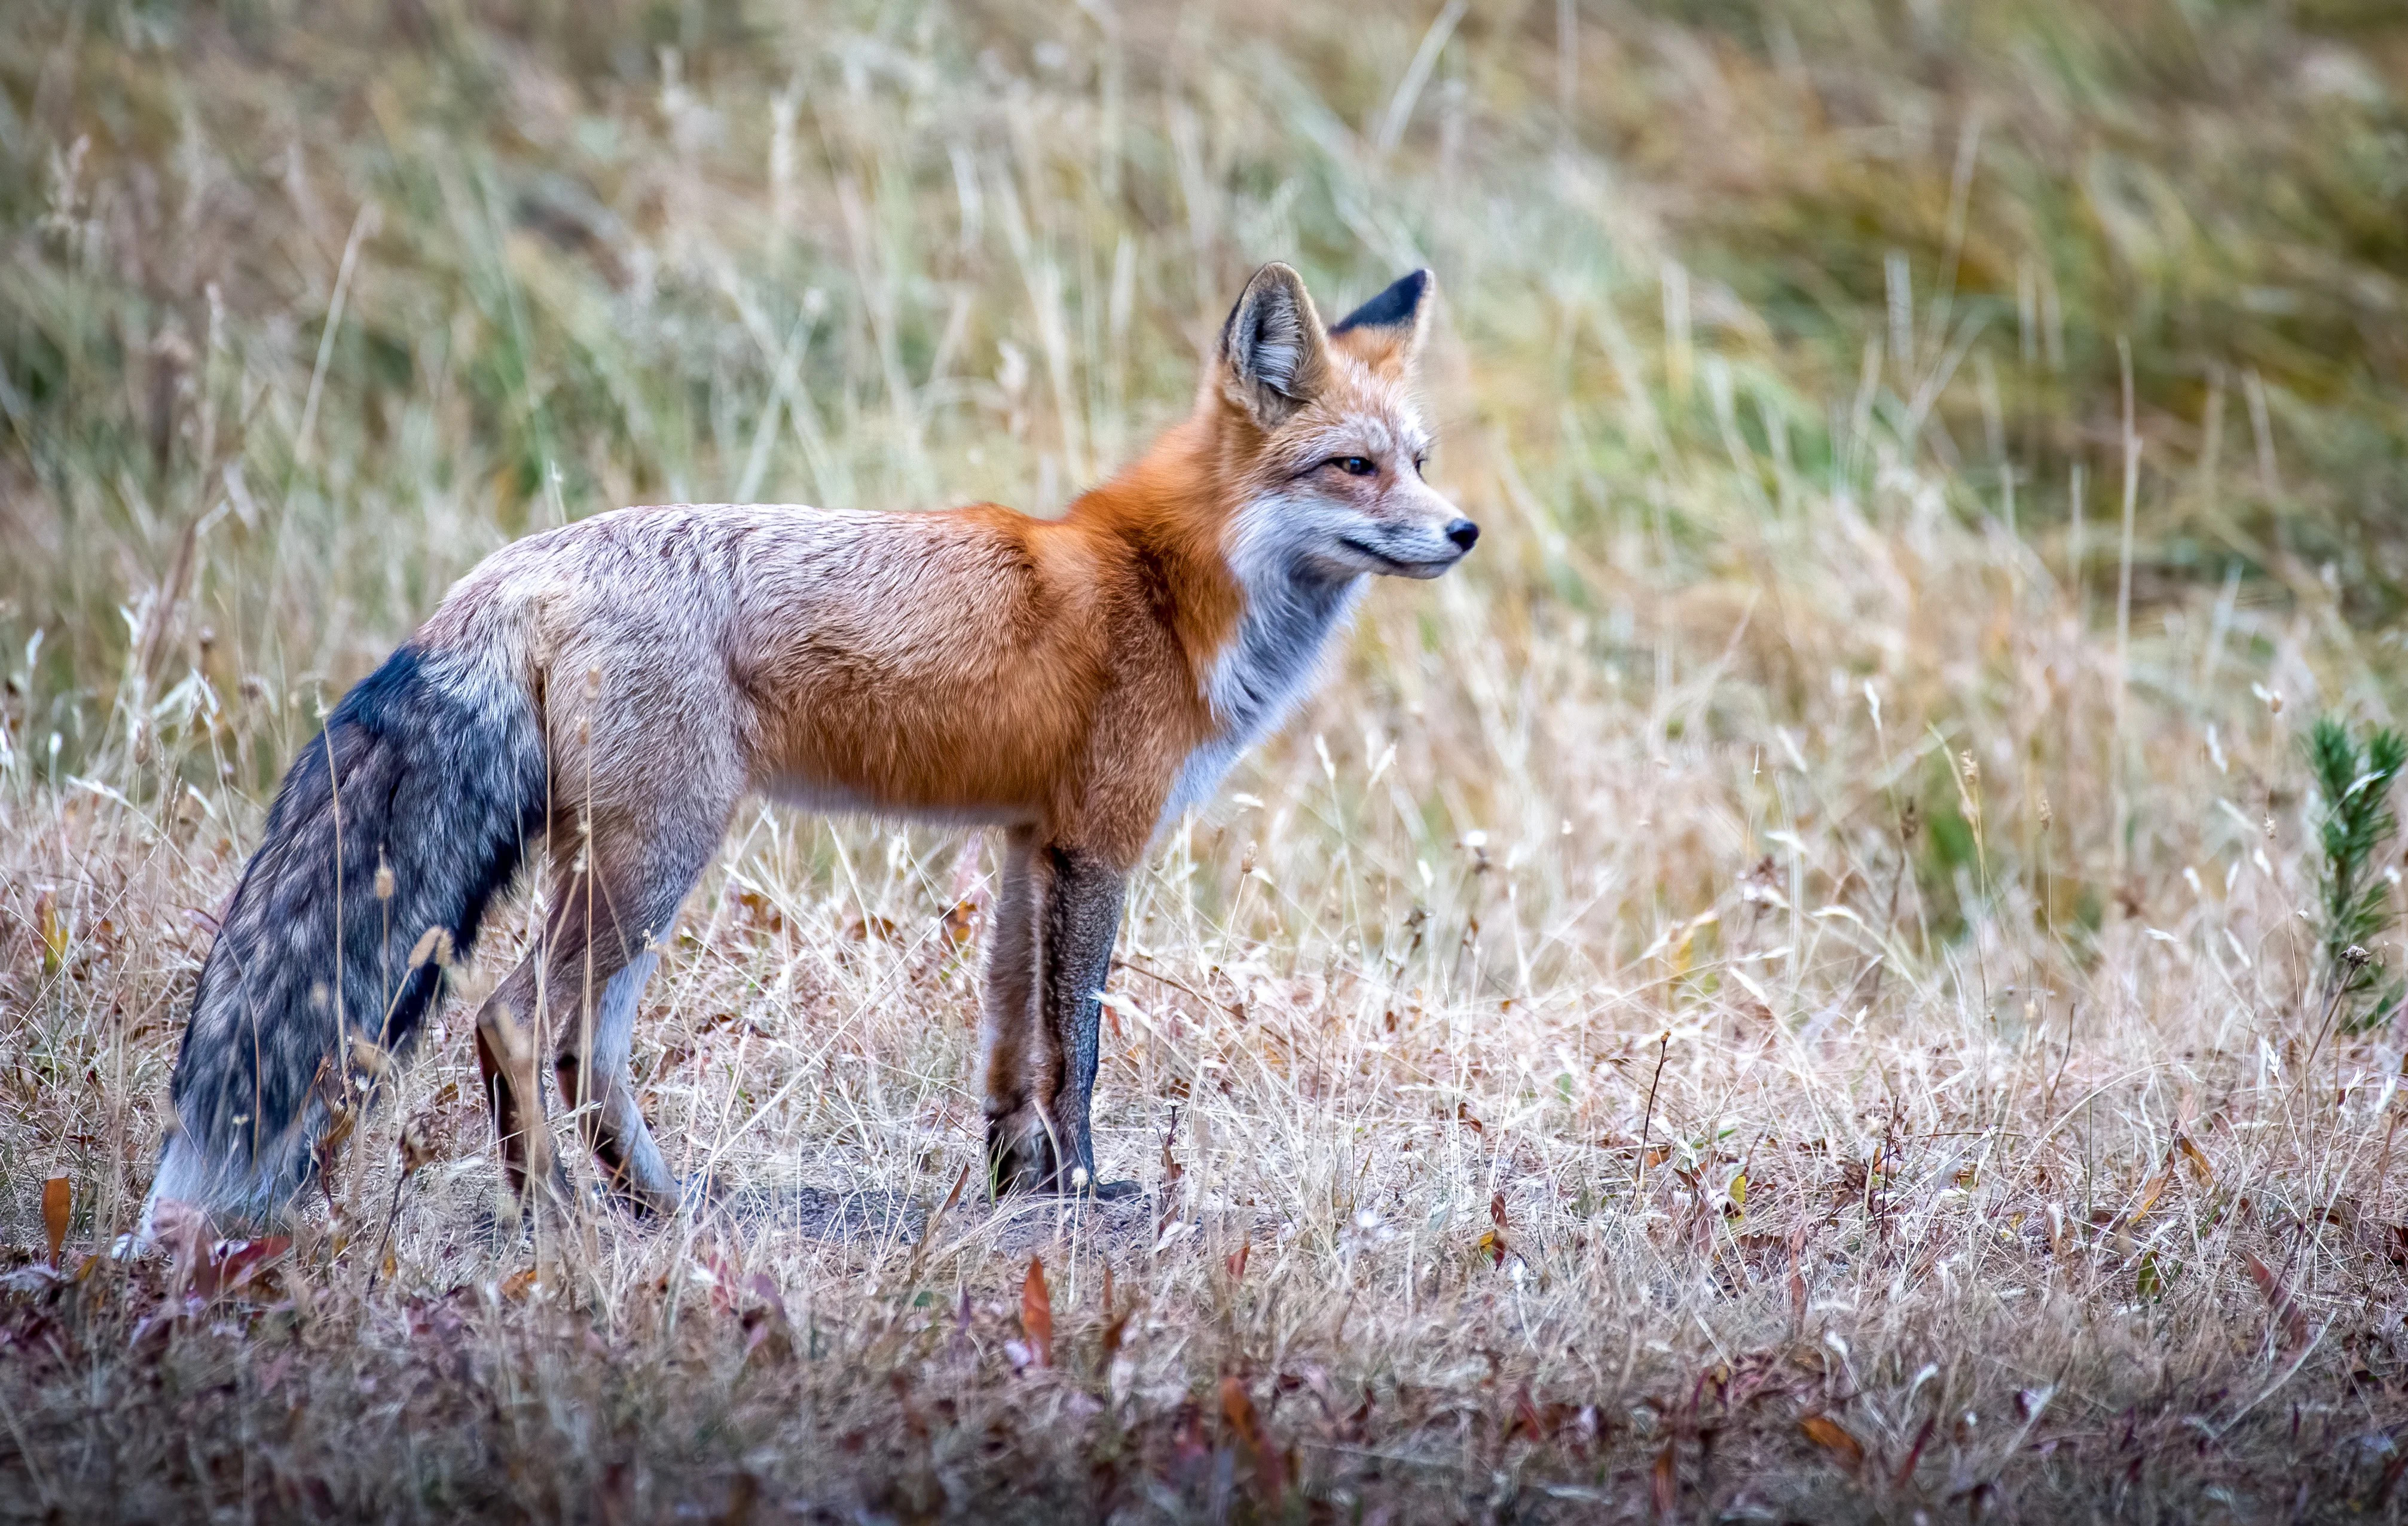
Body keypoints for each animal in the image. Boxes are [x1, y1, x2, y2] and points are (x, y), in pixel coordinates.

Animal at [150, 264, 1474, 1222]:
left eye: (1417, 460)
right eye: (1351, 467)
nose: (1461, 530)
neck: (1162, 585)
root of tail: (517, 565)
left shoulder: (1023, 841)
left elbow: (1010, 1044)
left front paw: (1019, 1184)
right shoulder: (1099, 844)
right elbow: (1080, 1047)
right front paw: (1085, 1186)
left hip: (626, 862)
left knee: (589, 1046)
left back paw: (653, 1201)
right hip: (657, 854)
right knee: (519, 1021)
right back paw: (558, 1216)